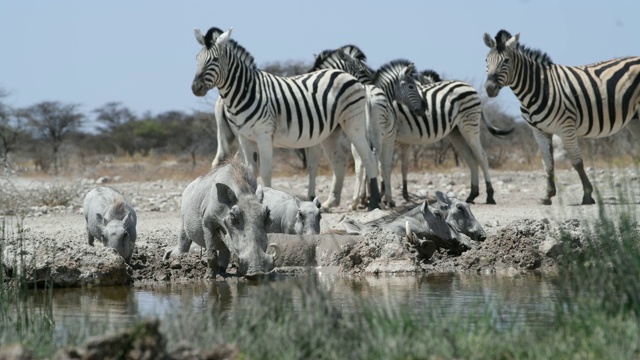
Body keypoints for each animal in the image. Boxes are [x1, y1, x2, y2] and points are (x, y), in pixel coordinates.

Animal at [190, 27, 380, 211]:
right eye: (197, 59)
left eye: (214, 59)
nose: (195, 87)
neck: (245, 91)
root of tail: (343, 74)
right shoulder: (245, 138)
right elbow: (251, 171)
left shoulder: (264, 135)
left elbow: (268, 171)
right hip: (333, 131)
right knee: (341, 162)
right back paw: (332, 202)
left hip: (353, 123)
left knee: (367, 157)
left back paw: (374, 202)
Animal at [308, 45, 424, 208]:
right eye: (411, 86)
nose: (422, 109)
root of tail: (368, 94)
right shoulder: (389, 137)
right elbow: (385, 165)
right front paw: (386, 198)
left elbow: (363, 164)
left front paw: (363, 197)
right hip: (376, 134)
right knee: (374, 158)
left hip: (354, 132)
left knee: (359, 162)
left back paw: (356, 200)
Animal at [392, 72, 512, 205]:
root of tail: (469, 86)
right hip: (456, 132)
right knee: (471, 159)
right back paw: (472, 195)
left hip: (469, 126)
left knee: (482, 156)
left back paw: (490, 196)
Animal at [482, 30, 640, 205]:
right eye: (486, 60)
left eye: (506, 61)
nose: (489, 88)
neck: (538, 88)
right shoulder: (539, 131)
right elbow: (548, 164)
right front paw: (547, 195)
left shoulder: (566, 127)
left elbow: (577, 163)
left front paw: (587, 195)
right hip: (635, 119)